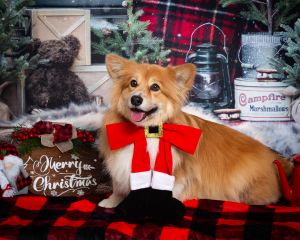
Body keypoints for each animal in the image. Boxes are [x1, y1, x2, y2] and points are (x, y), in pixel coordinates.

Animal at [99, 53, 292, 207]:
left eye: (155, 87)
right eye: (133, 83)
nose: (136, 99)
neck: (146, 132)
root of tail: (274, 158)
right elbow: (119, 188)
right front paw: (111, 202)